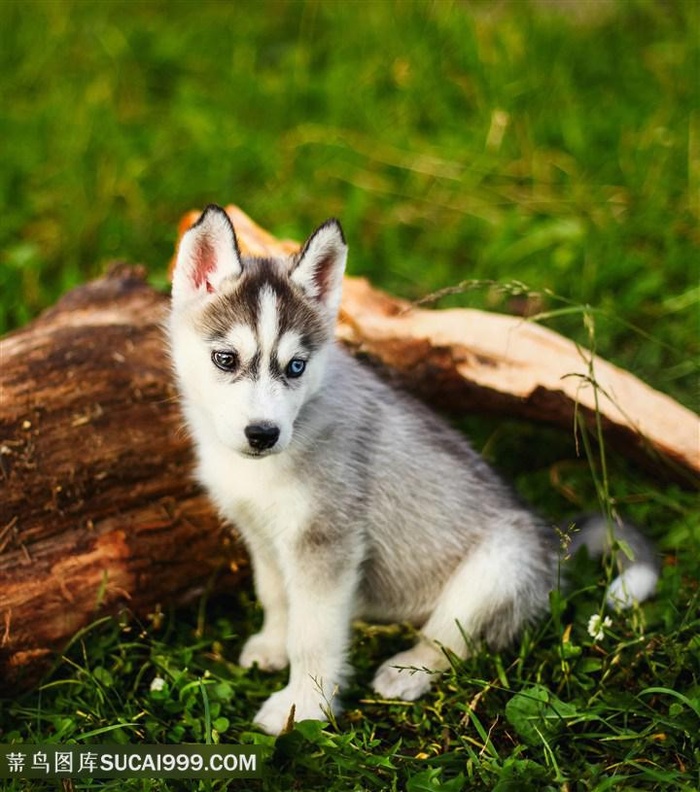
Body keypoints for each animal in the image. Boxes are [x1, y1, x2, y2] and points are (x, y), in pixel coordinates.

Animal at [168, 206, 656, 736]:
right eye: (225, 359)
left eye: (296, 366)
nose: (263, 434)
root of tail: (553, 541)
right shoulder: (263, 535)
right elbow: (276, 597)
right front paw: (272, 646)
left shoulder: (327, 542)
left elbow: (314, 634)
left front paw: (302, 707)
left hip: (497, 567)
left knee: (453, 639)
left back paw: (408, 671)